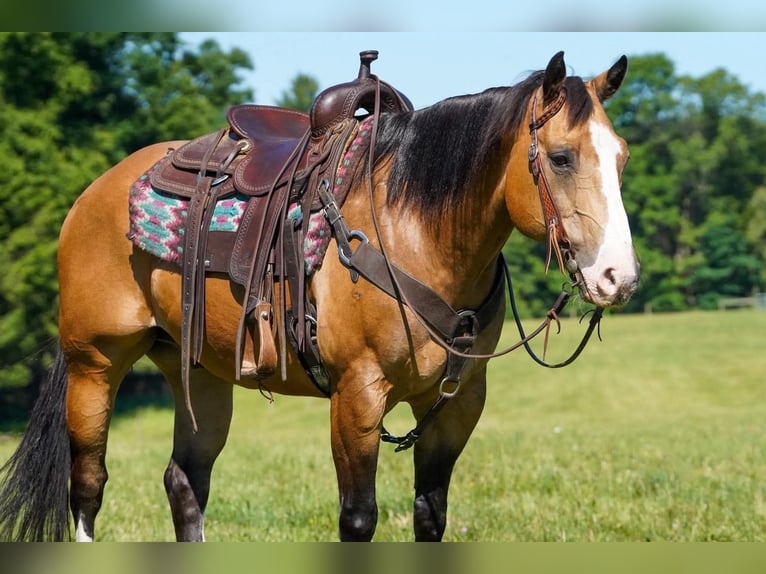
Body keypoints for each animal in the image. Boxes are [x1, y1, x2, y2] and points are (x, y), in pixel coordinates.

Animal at [0, 51, 639, 542]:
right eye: (560, 158)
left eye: (622, 157)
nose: (619, 277)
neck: (414, 232)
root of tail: (93, 193)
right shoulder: (357, 396)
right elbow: (358, 519)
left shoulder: (458, 406)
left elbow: (430, 516)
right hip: (95, 365)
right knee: (88, 486)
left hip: (199, 374)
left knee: (185, 482)